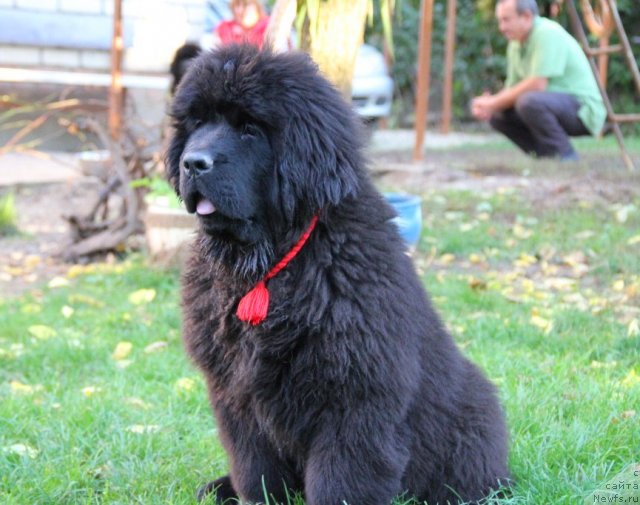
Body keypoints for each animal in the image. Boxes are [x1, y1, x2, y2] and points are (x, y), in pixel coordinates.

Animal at [166, 44, 510, 504]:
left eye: (249, 129)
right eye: (198, 123)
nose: (193, 163)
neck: (269, 266)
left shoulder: (355, 394)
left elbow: (343, 476)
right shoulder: (235, 392)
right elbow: (255, 467)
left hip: (470, 416)